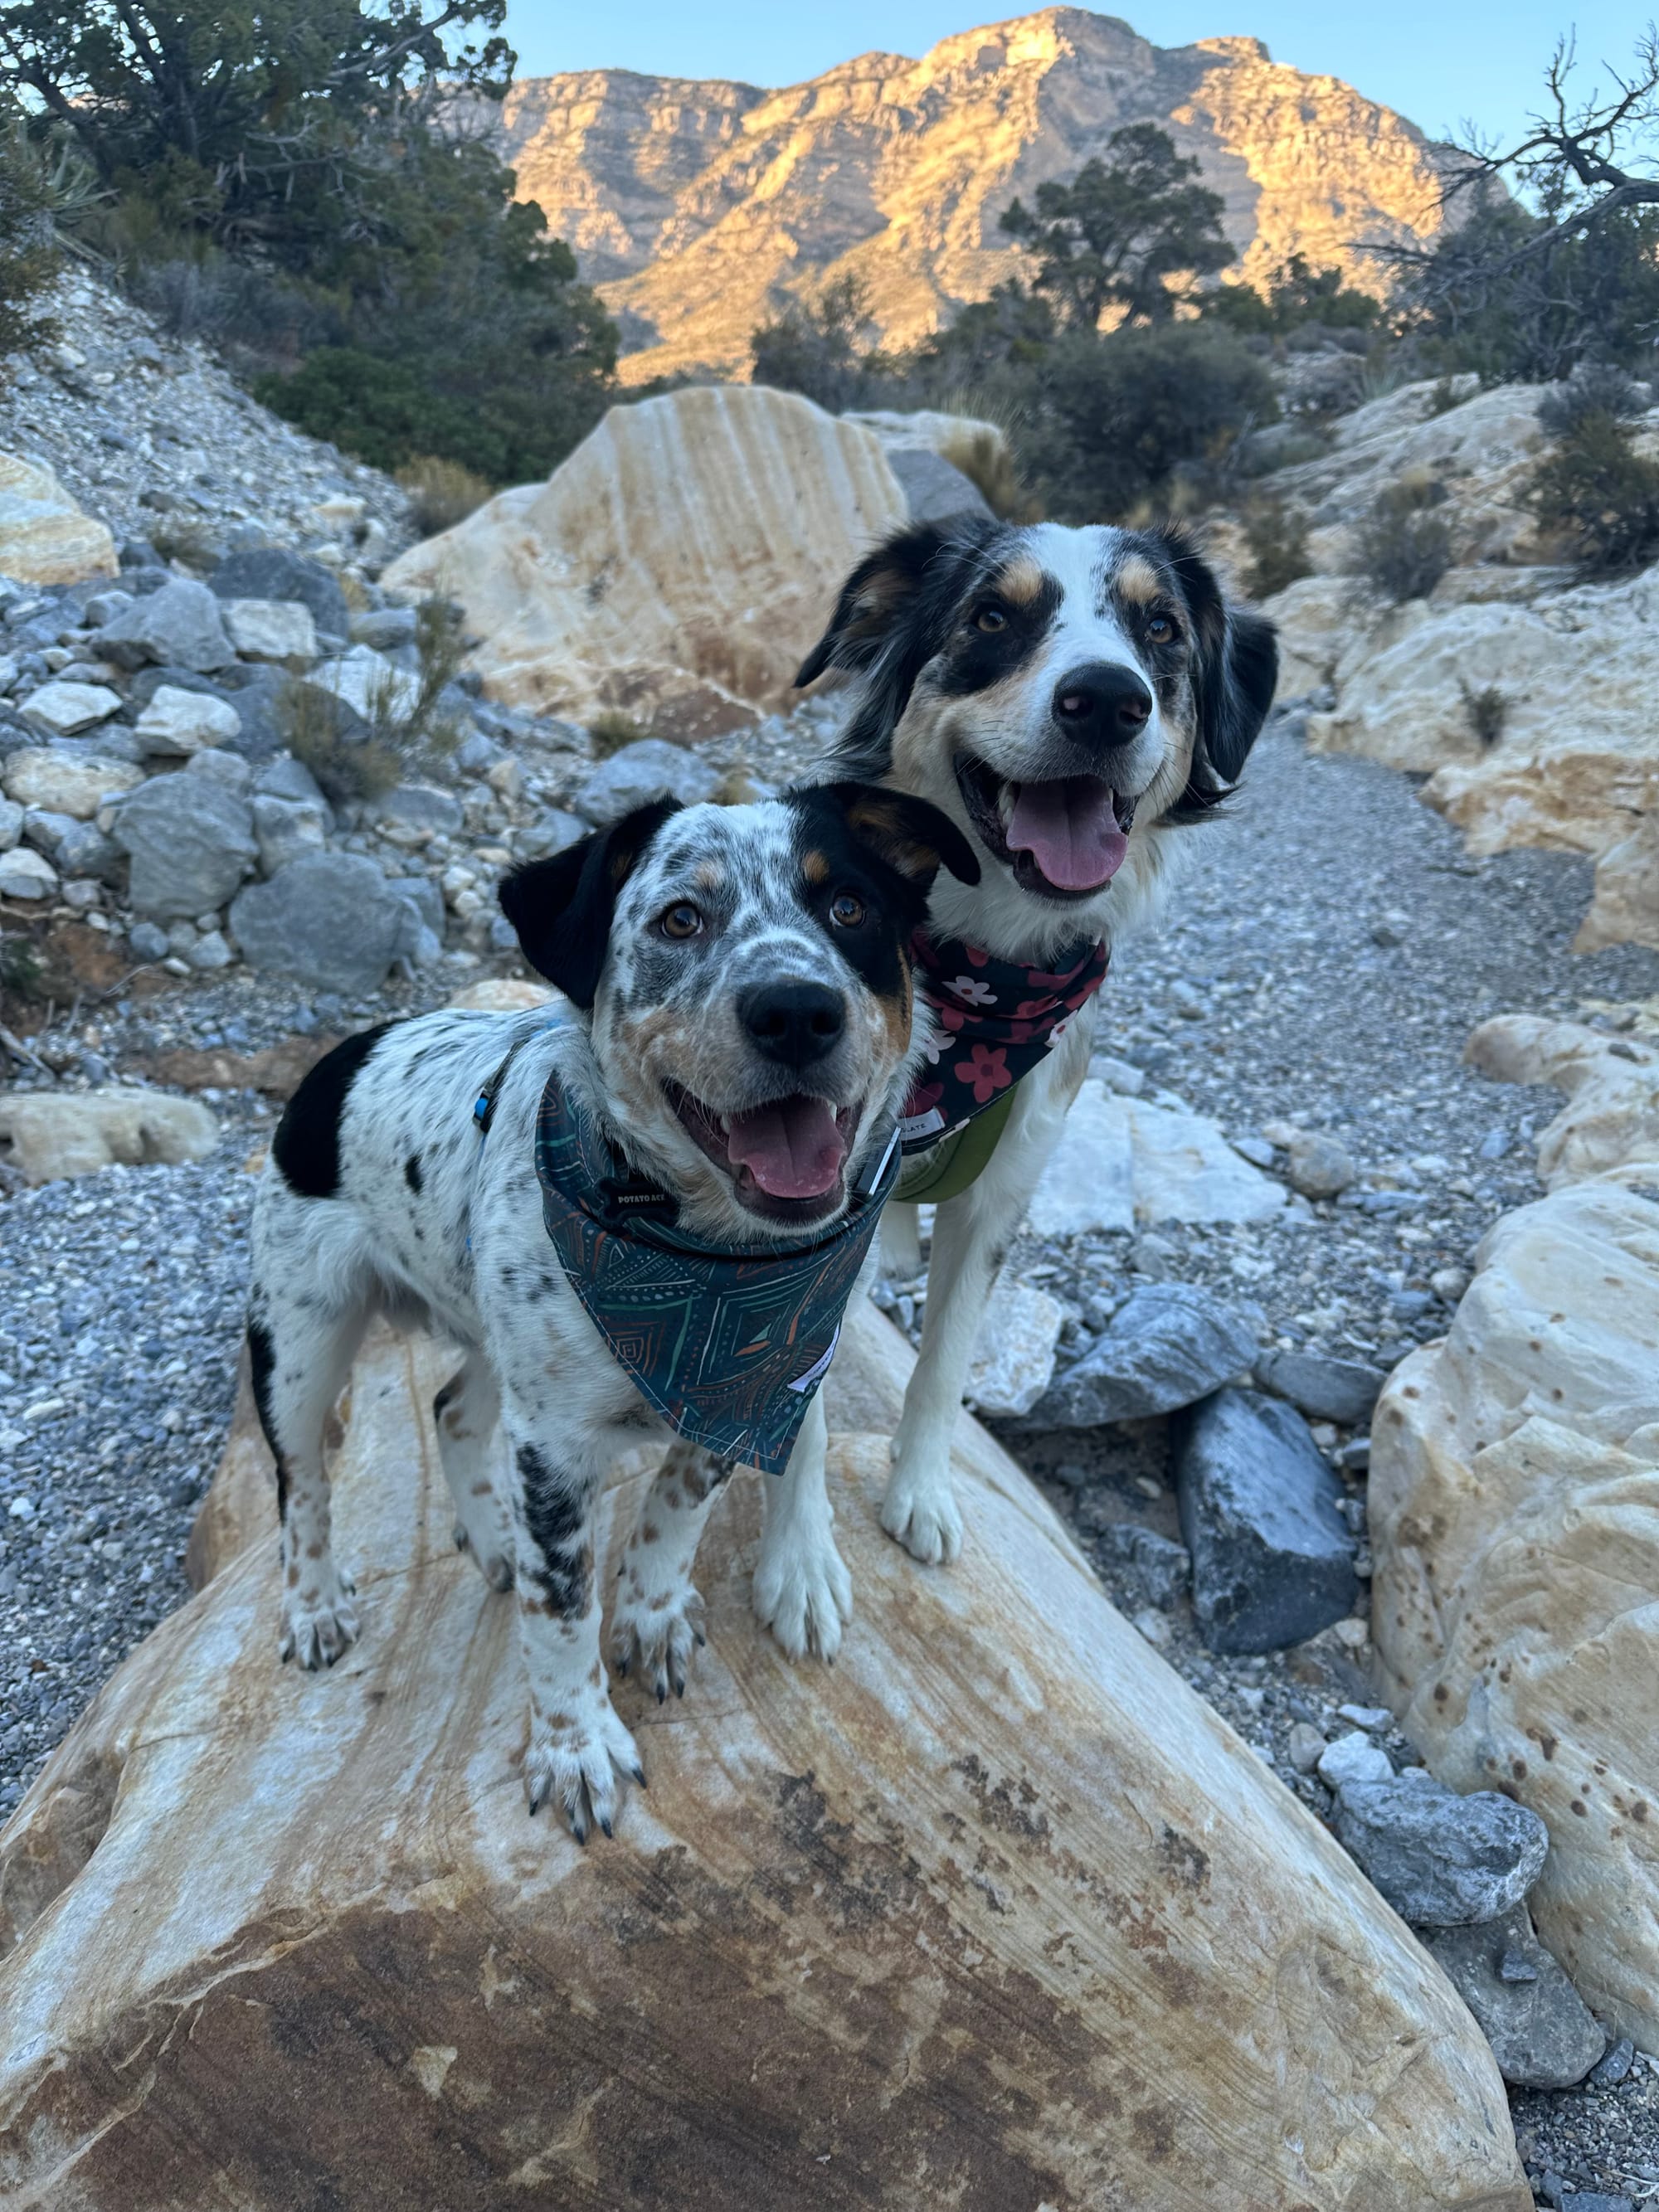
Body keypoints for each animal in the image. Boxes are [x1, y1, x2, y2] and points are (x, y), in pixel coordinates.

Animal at [243, 787, 973, 1840]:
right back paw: (313, 1606)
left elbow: (677, 1506)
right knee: (301, 1483)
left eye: (849, 910)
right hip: (298, 1341)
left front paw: (652, 1613)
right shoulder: (552, 1445)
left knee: (451, 1410)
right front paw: (574, 1746)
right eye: (679, 919)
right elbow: (559, 1615)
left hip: (492, 1339)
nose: (797, 1011)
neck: (703, 1262)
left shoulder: (744, 1389)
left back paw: (491, 1540)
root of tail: (341, 1052)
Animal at [800, 515, 1282, 1566]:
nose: (1105, 702)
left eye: (1159, 627)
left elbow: (944, 1361)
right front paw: (799, 1553)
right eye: (991, 616)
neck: (981, 967)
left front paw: (922, 1493)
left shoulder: (1007, 1180)